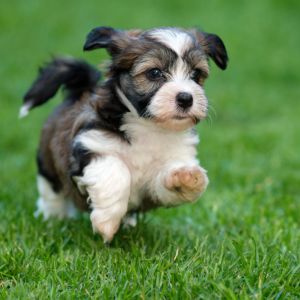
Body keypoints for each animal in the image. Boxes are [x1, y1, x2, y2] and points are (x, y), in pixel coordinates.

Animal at [21, 25, 227, 241]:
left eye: (196, 74)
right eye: (154, 73)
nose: (186, 98)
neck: (148, 126)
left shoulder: (157, 181)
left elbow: (165, 183)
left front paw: (186, 177)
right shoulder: (92, 143)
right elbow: (116, 171)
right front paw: (107, 222)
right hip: (48, 167)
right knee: (51, 192)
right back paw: (53, 219)